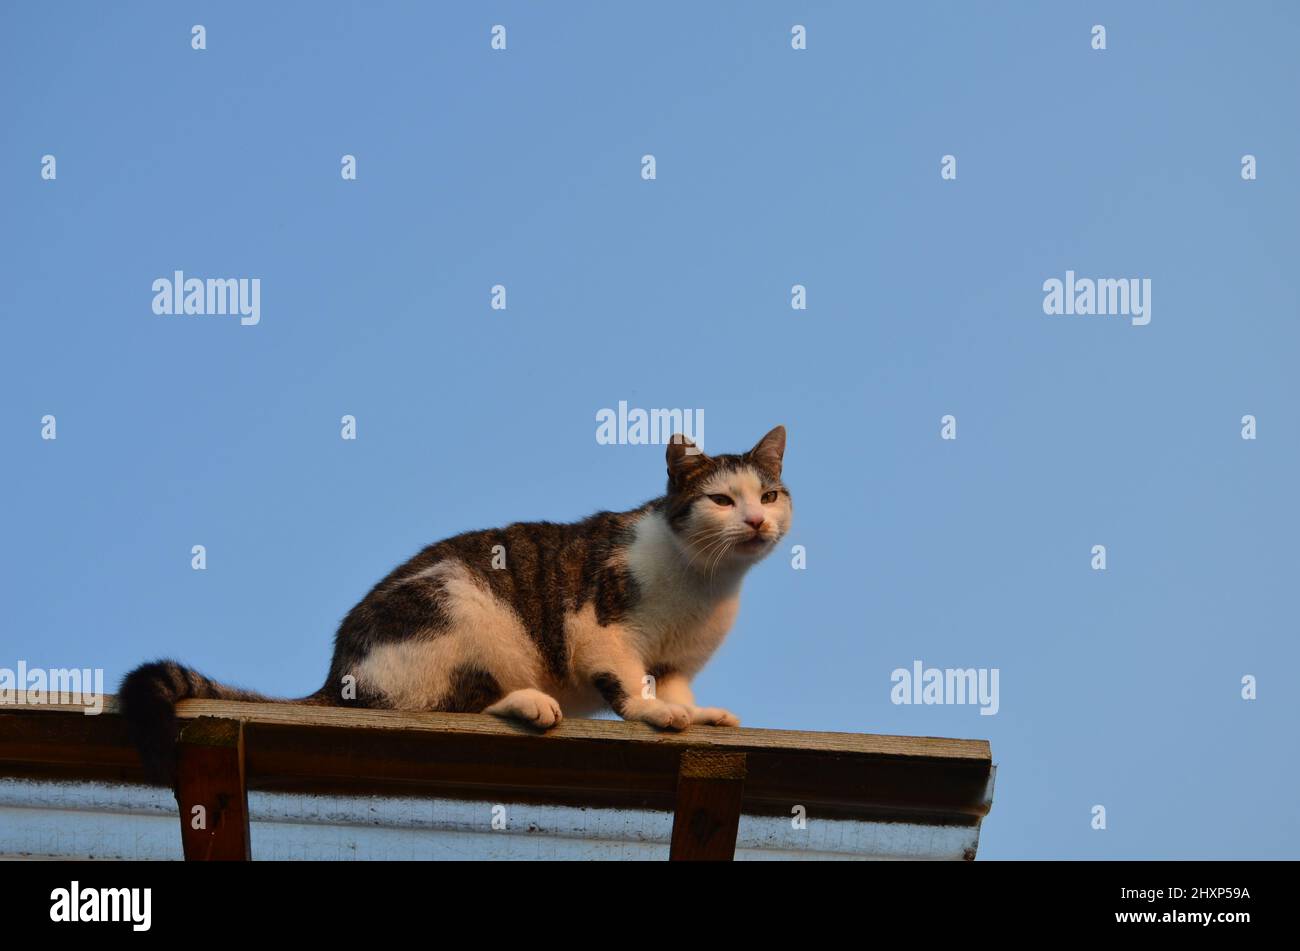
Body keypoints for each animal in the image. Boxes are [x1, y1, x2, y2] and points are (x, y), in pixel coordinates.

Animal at [124, 426, 790, 784]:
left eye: (769, 495)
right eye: (721, 500)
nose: (757, 521)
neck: (707, 583)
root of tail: (338, 672)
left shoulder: (678, 661)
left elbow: (675, 687)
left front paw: (697, 715)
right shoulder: (599, 630)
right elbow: (630, 685)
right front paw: (655, 714)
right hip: (464, 609)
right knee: (444, 704)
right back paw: (530, 703)